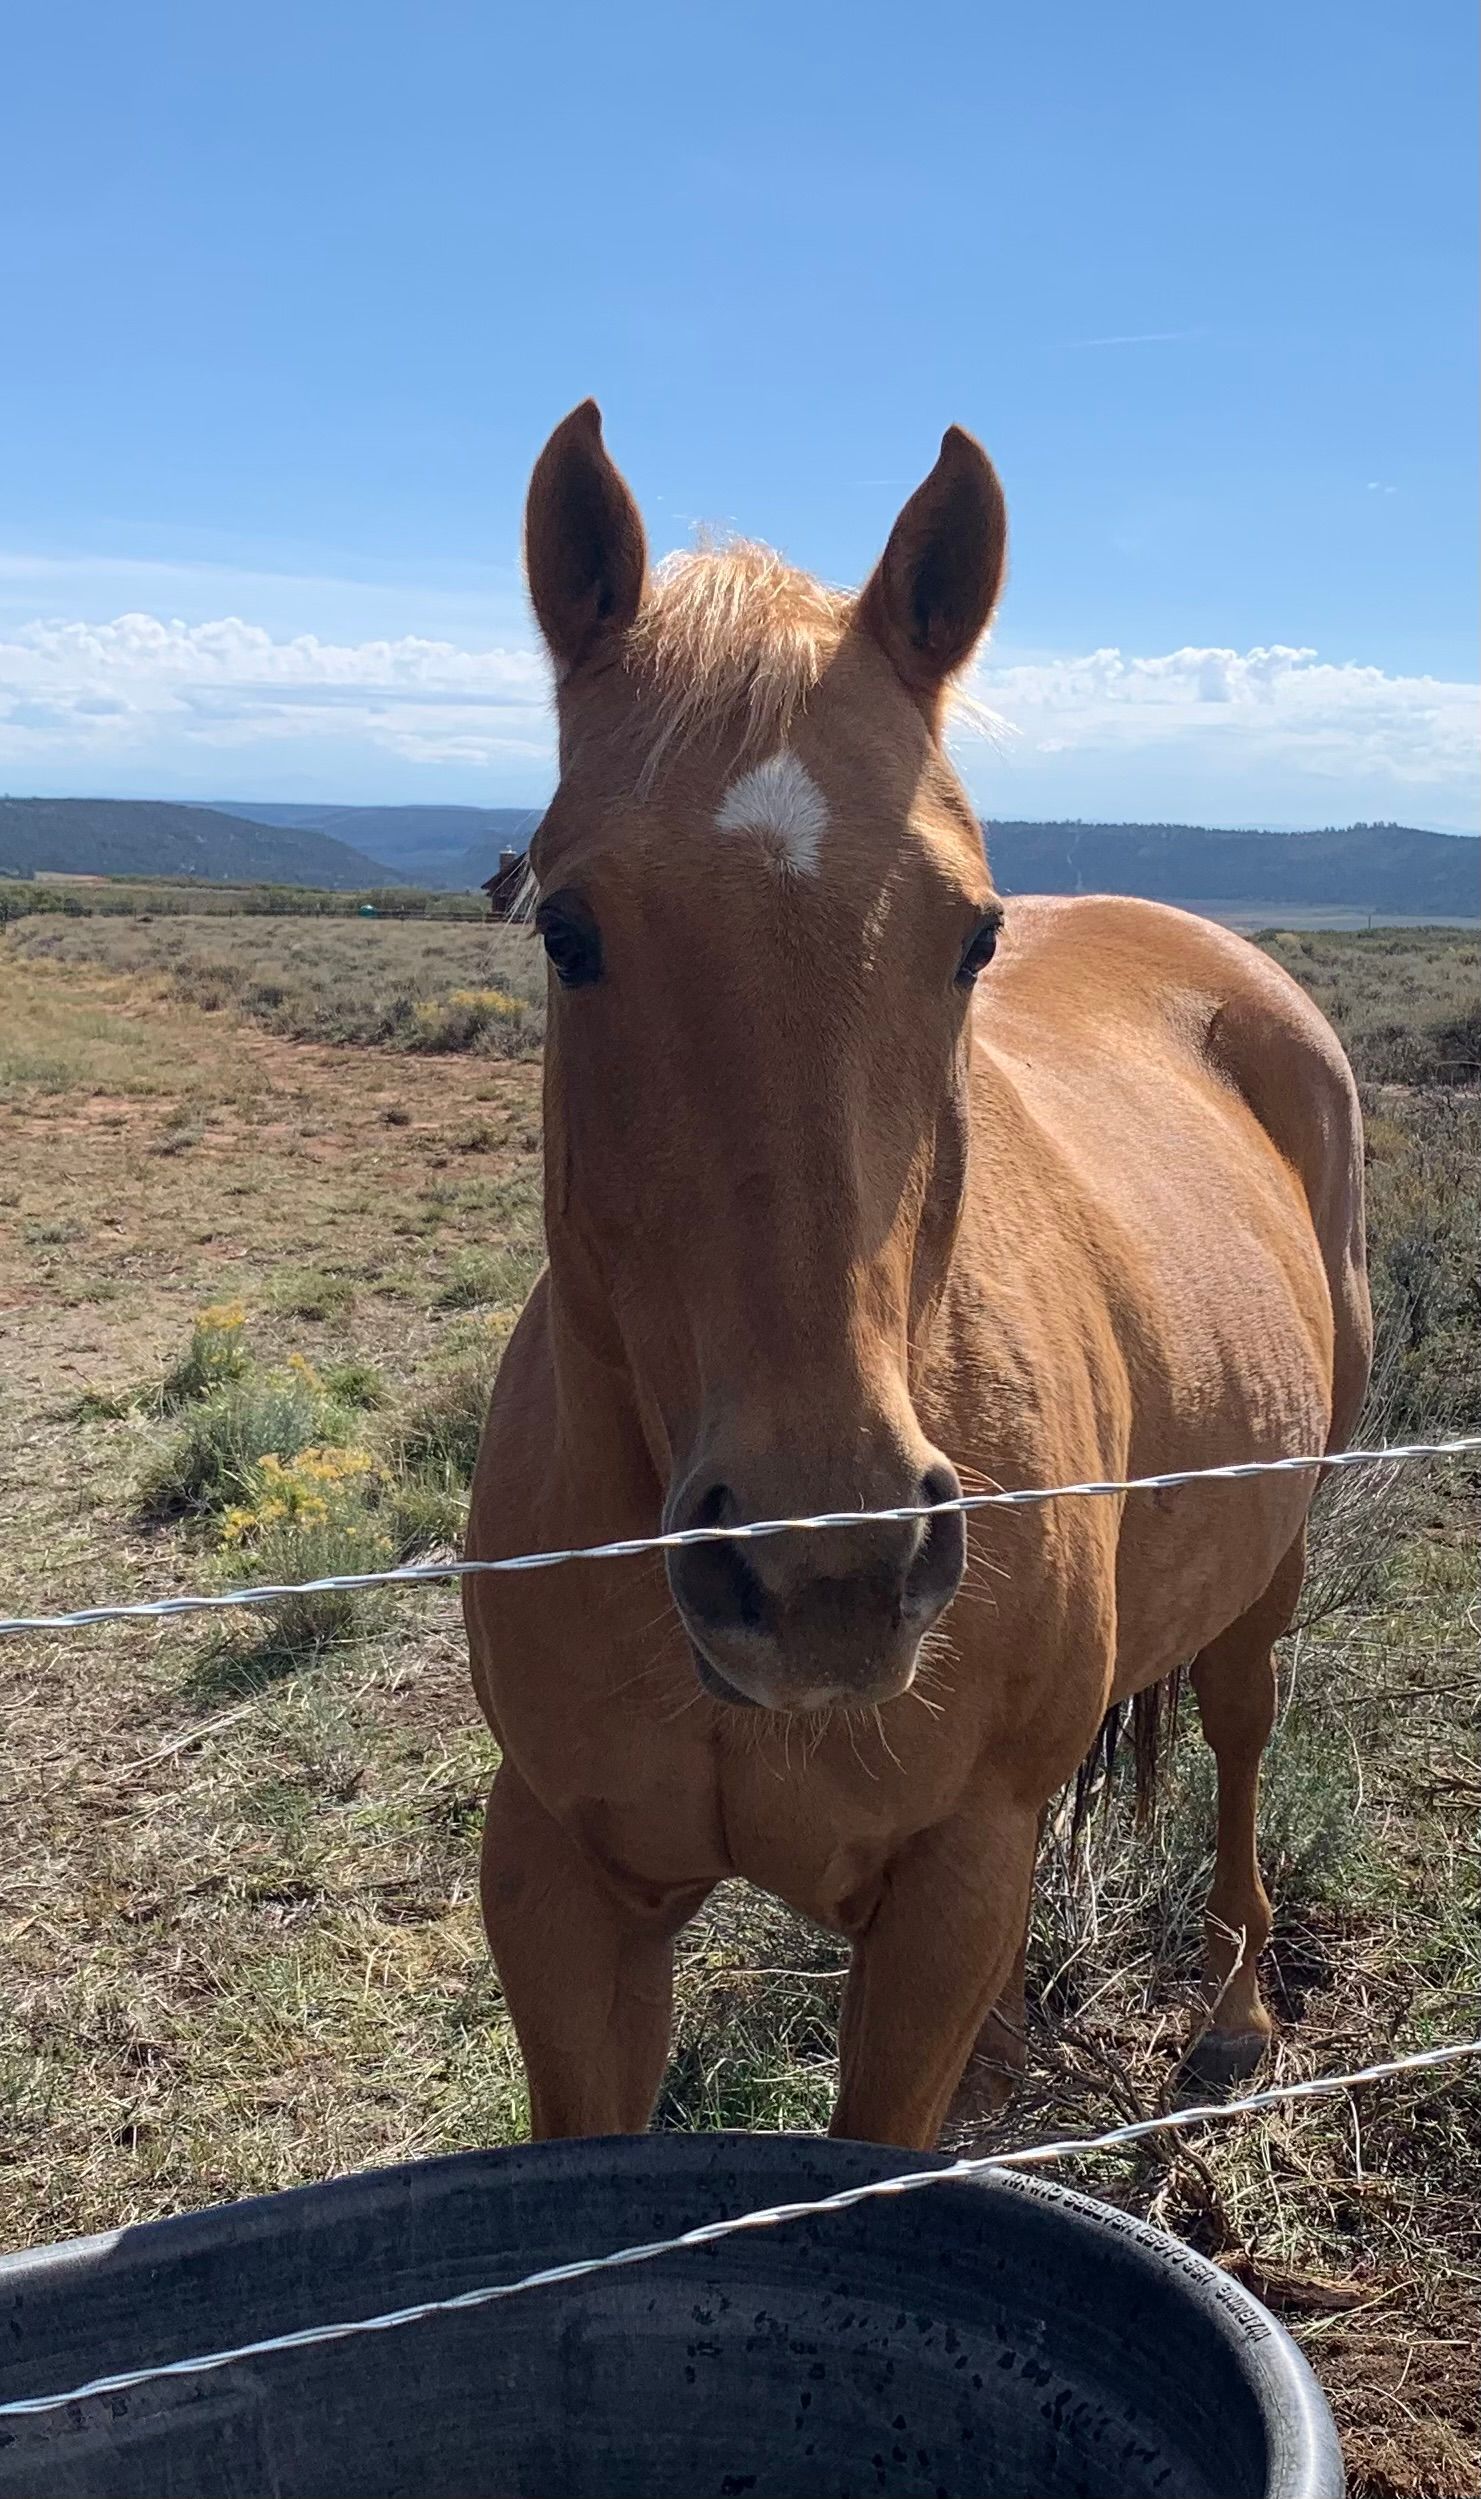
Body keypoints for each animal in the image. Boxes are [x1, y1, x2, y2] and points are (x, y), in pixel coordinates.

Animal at [463, 402, 1372, 2150]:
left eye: (969, 935)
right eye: (568, 930)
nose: (827, 1567)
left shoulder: (951, 1877)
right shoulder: (559, 1880)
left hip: (1277, 1538)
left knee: (1241, 1722)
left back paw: (1231, 2012)